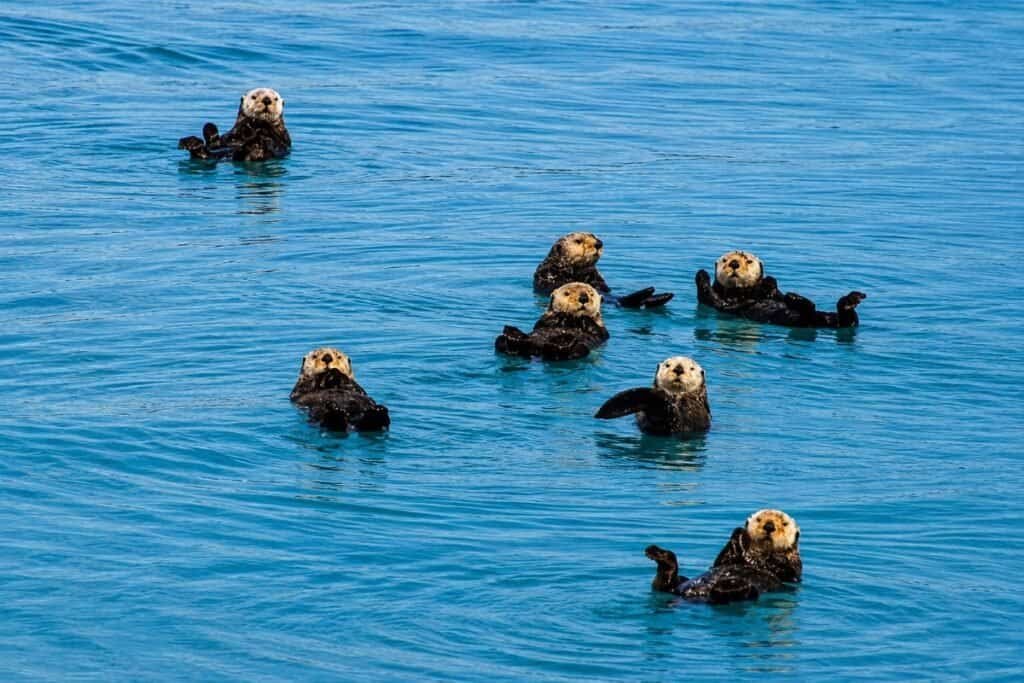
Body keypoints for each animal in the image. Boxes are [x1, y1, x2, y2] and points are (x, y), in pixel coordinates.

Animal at [533, 232, 673, 308]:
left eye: (594, 236)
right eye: (578, 241)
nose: (599, 243)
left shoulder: (595, 277)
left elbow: (601, 286)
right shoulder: (549, 274)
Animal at [645, 509, 802, 604]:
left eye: (784, 524)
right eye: (759, 519)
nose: (769, 526)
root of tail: (693, 595)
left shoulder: (792, 568)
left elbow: (779, 566)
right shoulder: (723, 560)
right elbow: (721, 560)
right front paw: (739, 533)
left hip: (748, 593)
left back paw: (730, 583)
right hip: (679, 583)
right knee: (664, 584)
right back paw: (659, 554)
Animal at [695, 250, 865, 328]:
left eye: (749, 261)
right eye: (725, 260)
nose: (734, 264)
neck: (742, 293)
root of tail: (818, 321)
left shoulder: (775, 295)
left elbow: (777, 293)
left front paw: (769, 282)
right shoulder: (720, 302)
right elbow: (711, 297)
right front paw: (702, 274)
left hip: (828, 317)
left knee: (849, 321)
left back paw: (850, 300)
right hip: (797, 320)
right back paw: (797, 300)